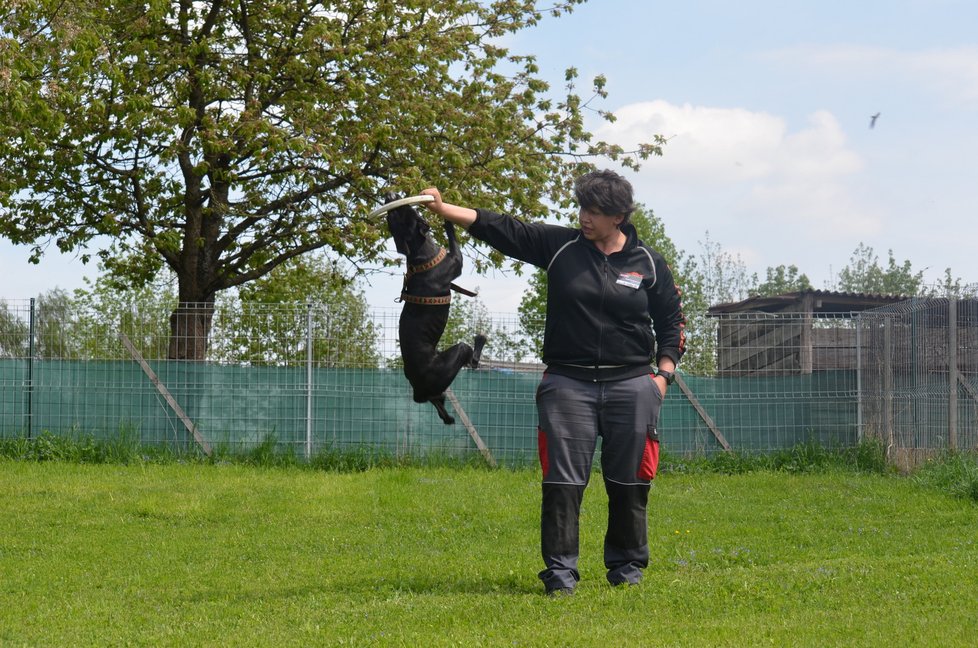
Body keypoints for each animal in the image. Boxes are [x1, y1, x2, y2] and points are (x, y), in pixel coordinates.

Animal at [386, 202, 484, 426]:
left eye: (393, 217)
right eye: (401, 212)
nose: (390, 197)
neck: (419, 256)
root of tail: (418, 390)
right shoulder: (456, 261)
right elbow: (452, 238)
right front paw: (447, 217)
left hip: (437, 386)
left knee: (438, 402)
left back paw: (447, 416)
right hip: (455, 356)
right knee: (471, 358)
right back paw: (480, 340)